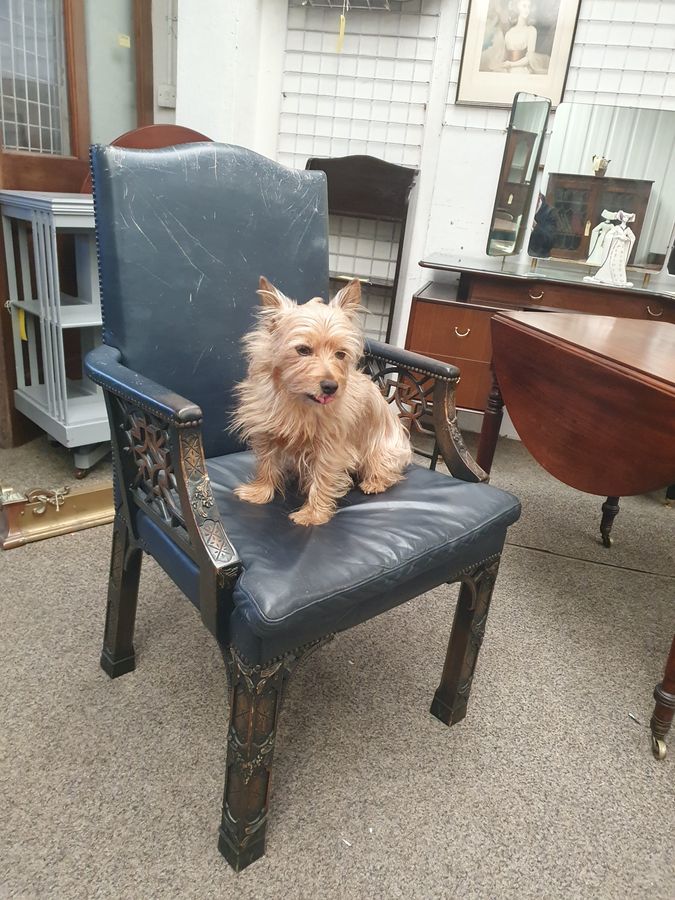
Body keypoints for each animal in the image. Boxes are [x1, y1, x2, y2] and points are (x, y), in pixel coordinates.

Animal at [232, 276, 412, 528]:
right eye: (303, 350)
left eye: (341, 354)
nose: (331, 386)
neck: (299, 401)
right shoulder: (266, 433)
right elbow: (266, 464)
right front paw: (260, 491)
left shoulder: (331, 448)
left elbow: (323, 477)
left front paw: (312, 514)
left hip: (385, 449)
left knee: (385, 468)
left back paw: (374, 482)